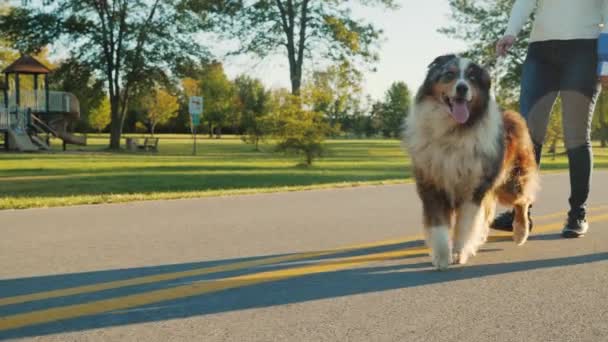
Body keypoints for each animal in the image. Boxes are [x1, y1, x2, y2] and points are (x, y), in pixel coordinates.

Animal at [402, 54, 540, 272]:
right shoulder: (432, 187)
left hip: (510, 182)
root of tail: (512, 114)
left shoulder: (473, 188)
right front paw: (442, 258)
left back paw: (520, 233)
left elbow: (465, 225)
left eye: (472, 78)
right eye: (449, 74)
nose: (462, 88)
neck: (453, 132)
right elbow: (439, 228)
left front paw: (459, 253)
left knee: (523, 201)